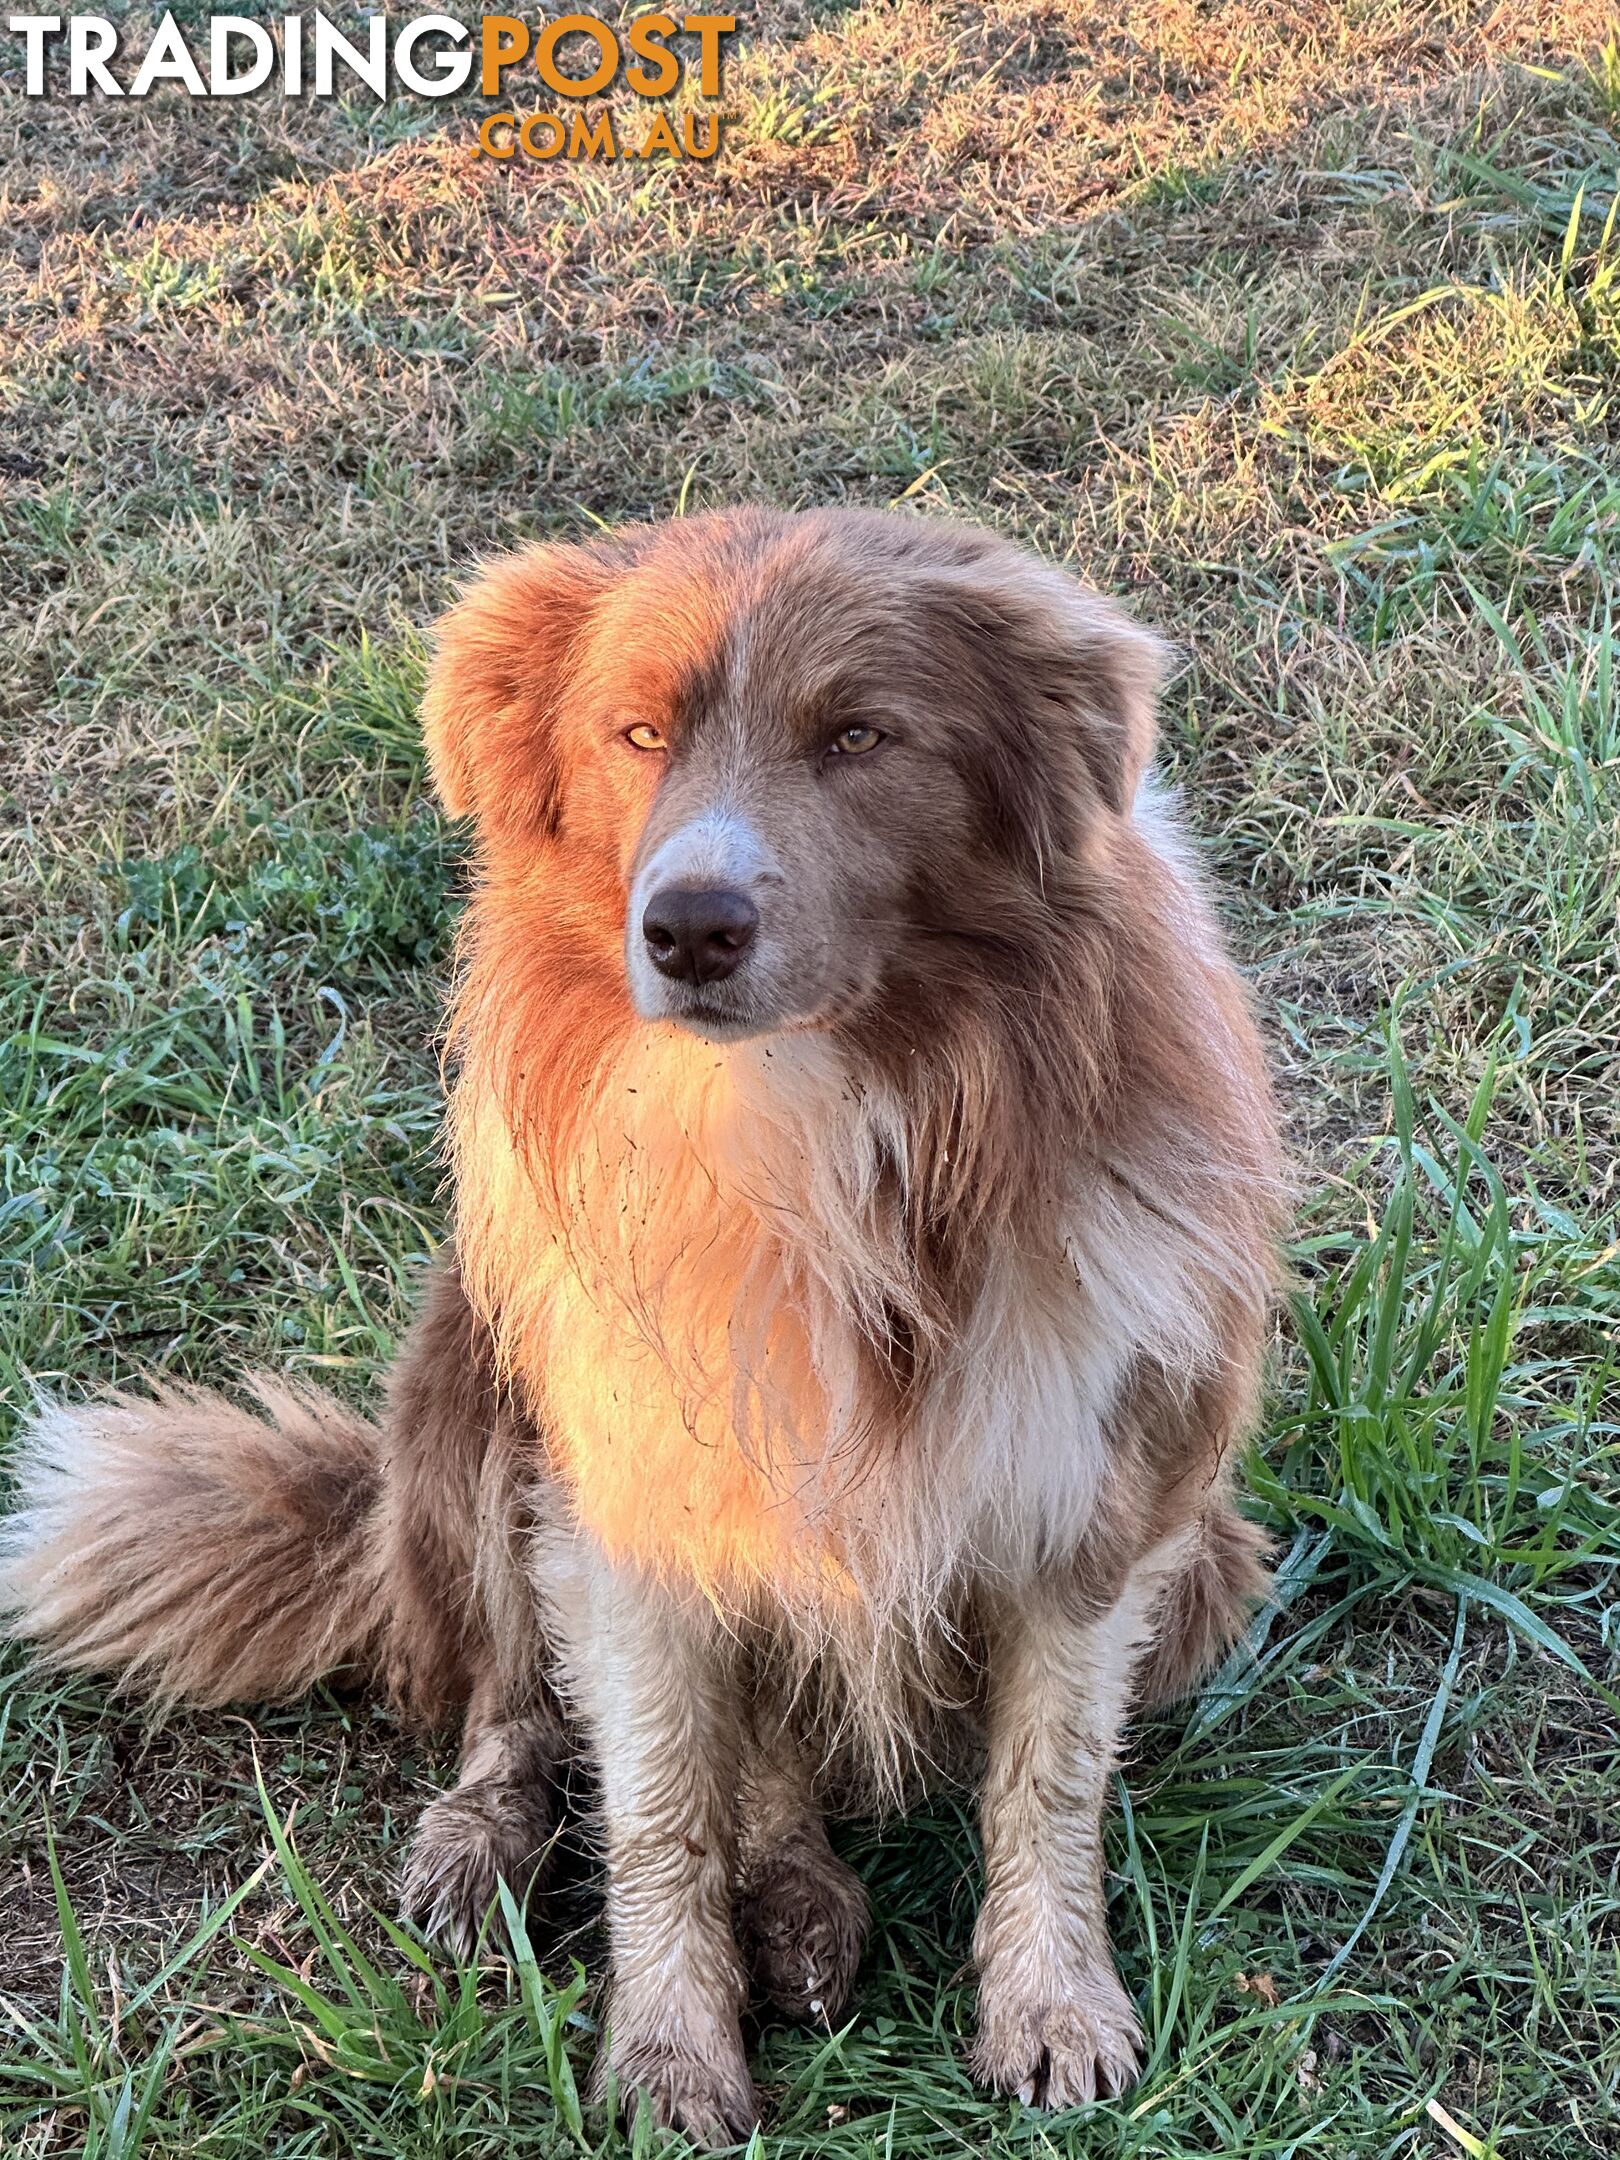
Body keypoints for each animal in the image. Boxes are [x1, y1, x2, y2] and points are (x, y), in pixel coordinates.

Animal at [3, 505, 1296, 2142]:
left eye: (858, 736)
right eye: (636, 736)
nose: (687, 927)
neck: (806, 1117)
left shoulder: (1093, 1487)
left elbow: (1043, 1782)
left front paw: (1054, 2008)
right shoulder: (627, 1494)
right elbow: (663, 1797)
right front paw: (669, 2055)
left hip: (1211, 1565)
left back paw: (802, 1912)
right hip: (474, 1393)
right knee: (517, 1704)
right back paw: (494, 1849)